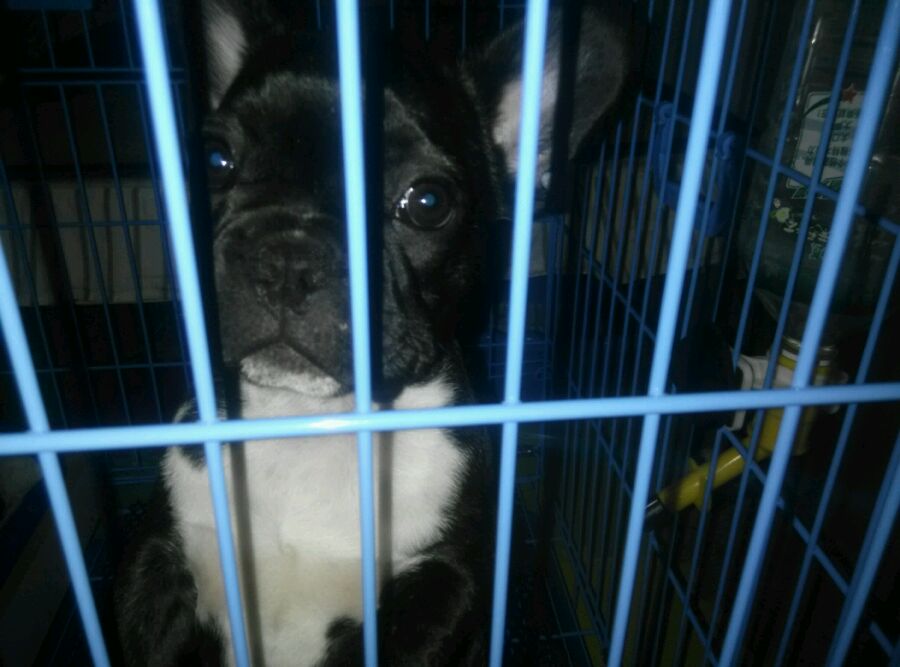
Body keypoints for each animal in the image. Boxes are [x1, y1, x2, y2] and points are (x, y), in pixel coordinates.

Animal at [115, 1, 626, 664]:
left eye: (428, 201)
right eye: (214, 160)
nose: (286, 257)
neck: (307, 423)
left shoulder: (444, 584)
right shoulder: (157, 557)